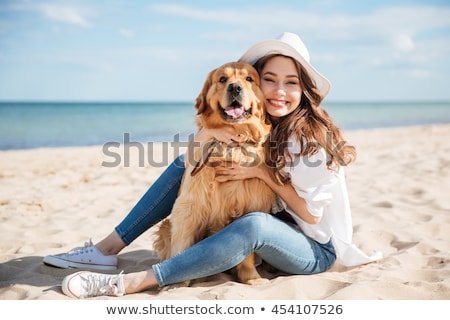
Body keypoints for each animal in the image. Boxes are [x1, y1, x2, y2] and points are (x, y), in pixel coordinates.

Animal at [154, 61, 274, 286]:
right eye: (223, 79)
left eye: (249, 79)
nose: (235, 88)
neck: (233, 142)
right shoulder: (190, 206)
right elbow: (182, 248)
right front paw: (178, 285)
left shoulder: (250, 206)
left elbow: (248, 251)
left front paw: (251, 278)